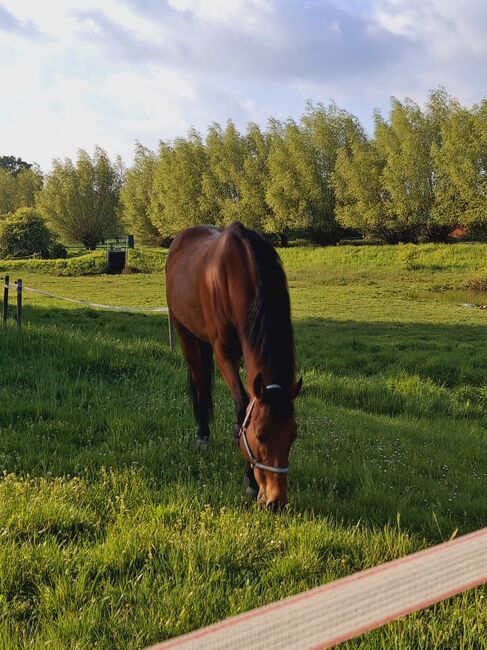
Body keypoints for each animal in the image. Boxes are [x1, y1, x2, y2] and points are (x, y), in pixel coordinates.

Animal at [165, 221, 302, 510]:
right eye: (260, 436)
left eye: (293, 435)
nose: (276, 502)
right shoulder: (223, 354)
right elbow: (242, 406)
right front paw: (251, 482)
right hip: (185, 334)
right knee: (200, 380)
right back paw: (202, 435)